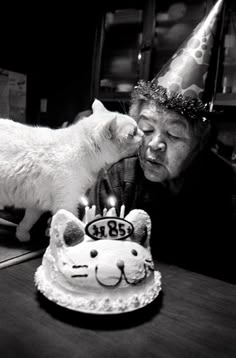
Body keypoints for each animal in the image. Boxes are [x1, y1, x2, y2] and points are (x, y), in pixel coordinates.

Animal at [0, 99, 144, 242]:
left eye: (138, 128)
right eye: (133, 133)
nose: (143, 134)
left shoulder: (36, 203)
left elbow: (28, 221)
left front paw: (22, 235)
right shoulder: (67, 202)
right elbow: (72, 221)